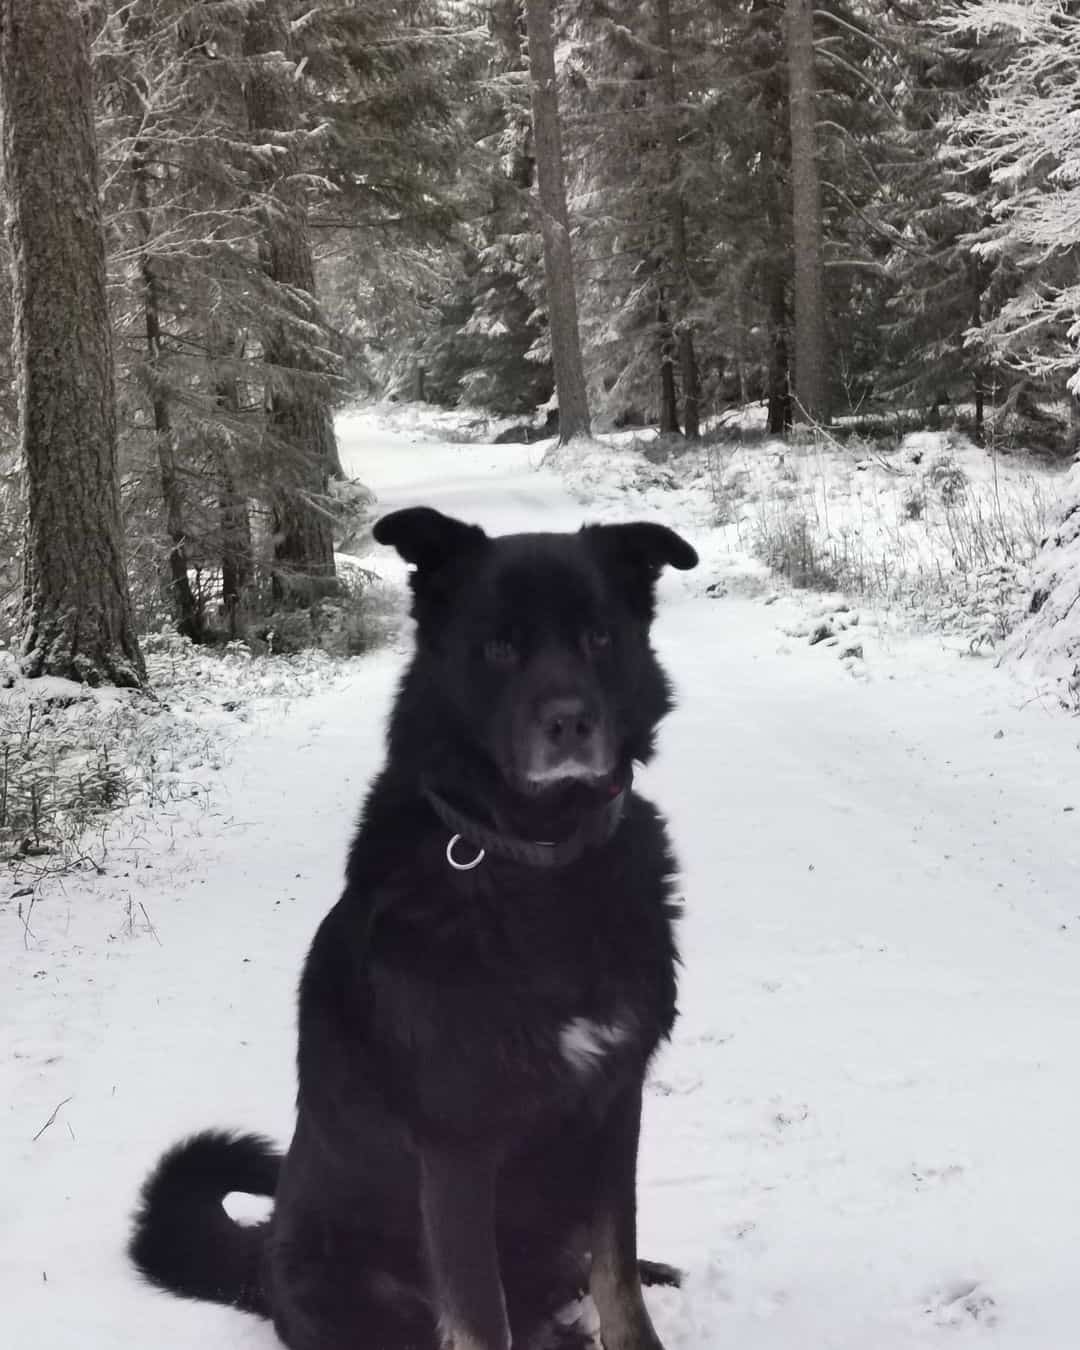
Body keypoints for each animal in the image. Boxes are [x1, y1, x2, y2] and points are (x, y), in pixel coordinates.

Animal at [130, 507, 696, 1350]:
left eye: (600, 637)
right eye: (499, 647)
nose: (571, 723)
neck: (535, 863)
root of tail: (260, 1266)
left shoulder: (614, 1102)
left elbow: (617, 1272)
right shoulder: (457, 1146)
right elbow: (483, 1318)